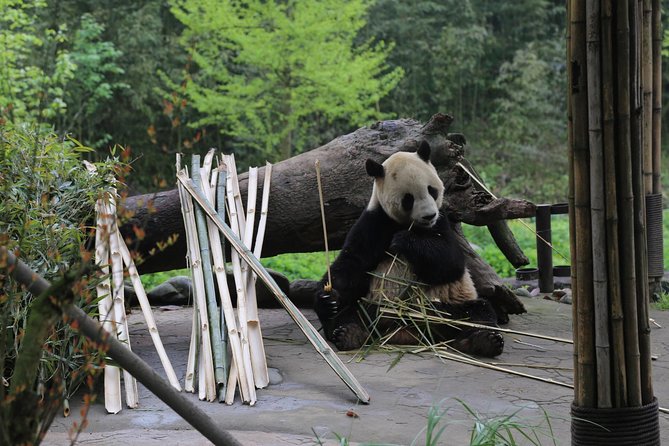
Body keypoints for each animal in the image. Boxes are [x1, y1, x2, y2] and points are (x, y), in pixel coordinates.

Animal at [314, 140, 504, 357]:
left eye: (432, 190)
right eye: (408, 199)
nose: (429, 216)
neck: (411, 225)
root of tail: (407, 332)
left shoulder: (442, 222)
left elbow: (451, 262)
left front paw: (404, 240)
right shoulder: (375, 221)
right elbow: (352, 263)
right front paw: (328, 298)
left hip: (451, 307)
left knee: (479, 313)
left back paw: (483, 340)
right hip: (379, 307)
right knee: (350, 312)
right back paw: (348, 333)